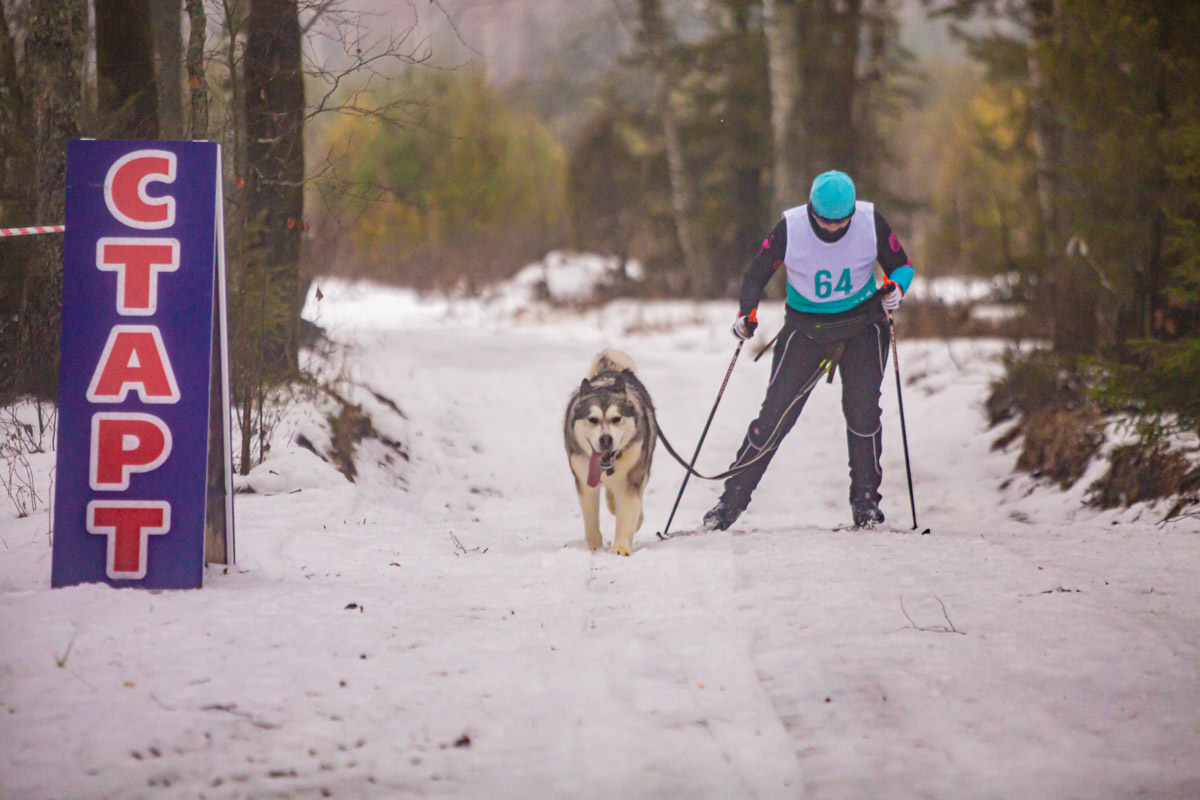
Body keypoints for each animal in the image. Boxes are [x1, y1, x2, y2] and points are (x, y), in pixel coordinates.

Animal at [561, 350, 657, 556]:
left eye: (616, 419)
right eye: (593, 419)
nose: (606, 439)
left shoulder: (632, 476)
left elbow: (627, 511)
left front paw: (620, 547)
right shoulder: (584, 479)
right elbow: (590, 515)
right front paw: (594, 545)